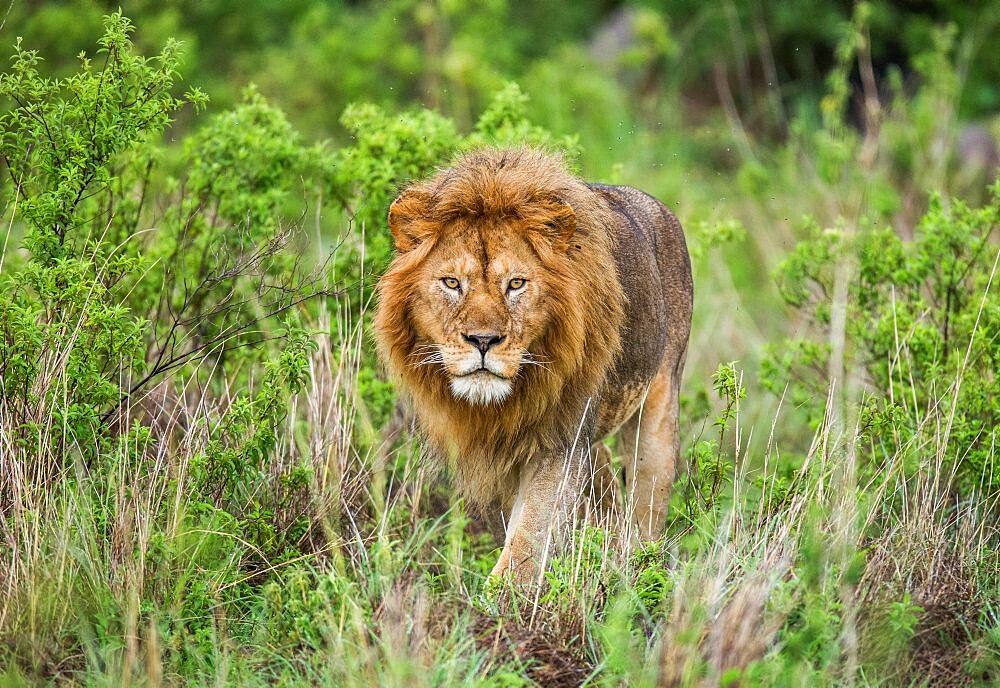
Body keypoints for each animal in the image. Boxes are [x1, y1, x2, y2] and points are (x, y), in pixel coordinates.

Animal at [372, 148, 692, 584]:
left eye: (516, 284)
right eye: (452, 283)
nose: (483, 340)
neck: (499, 406)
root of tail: (657, 206)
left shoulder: (560, 441)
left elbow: (529, 539)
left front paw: (502, 598)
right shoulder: (500, 454)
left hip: (657, 416)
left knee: (645, 510)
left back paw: (639, 572)